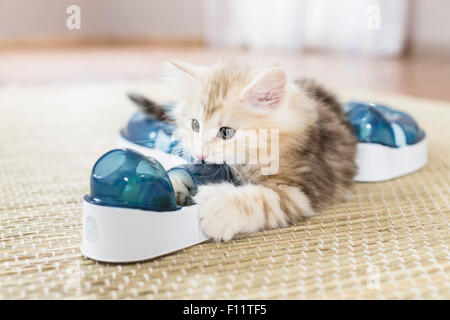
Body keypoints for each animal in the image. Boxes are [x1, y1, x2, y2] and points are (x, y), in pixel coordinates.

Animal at [135, 59, 356, 240]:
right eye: (195, 125)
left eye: (226, 132)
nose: (200, 153)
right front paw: (168, 184)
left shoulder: (303, 190)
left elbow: (263, 200)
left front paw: (220, 209)